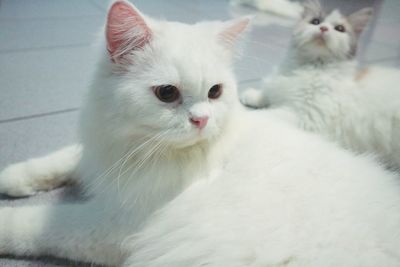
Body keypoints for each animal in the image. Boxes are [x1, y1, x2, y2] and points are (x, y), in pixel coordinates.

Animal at [241, 0, 400, 171]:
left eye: (340, 29)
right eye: (315, 22)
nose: (323, 28)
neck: (312, 66)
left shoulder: (301, 114)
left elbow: (266, 113)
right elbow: (268, 93)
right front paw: (251, 95)